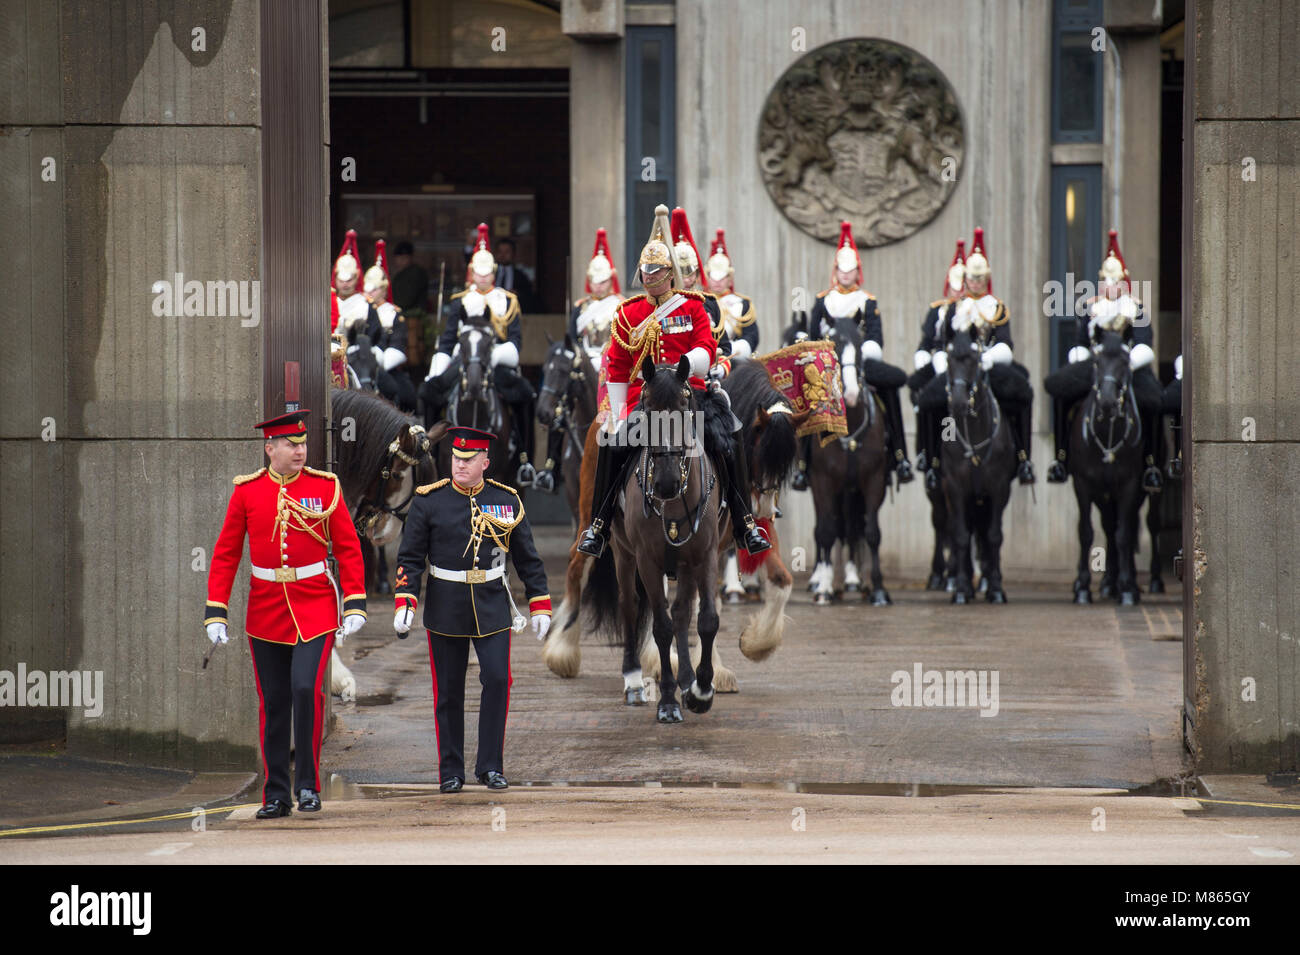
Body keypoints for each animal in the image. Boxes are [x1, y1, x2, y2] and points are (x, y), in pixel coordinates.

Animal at [582, 358, 728, 722]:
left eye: (684, 406)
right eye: (646, 409)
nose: (665, 483)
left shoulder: (705, 554)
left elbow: (706, 620)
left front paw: (701, 691)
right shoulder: (648, 560)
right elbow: (660, 627)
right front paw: (668, 702)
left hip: (685, 563)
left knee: (682, 613)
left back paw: (688, 681)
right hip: (623, 553)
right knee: (630, 606)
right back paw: (634, 680)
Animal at [941, 324, 1019, 600]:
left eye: (974, 360)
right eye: (948, 360)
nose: (959, 403)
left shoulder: (999, 488)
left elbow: (994, 535)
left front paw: (995, 588)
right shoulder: (955, 488)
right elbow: (962, 536)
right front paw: (962, 589)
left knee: (985, 535)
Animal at [1066, 332, 1149, 608]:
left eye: (1125, 363)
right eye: (1096, 362)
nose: (1108, 403)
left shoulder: (1129, 485)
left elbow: (1123, 534)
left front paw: (1127, 589)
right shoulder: (1082, 484)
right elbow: (1085, 532)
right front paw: (1082, 587)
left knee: (1121, 529)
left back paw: (1124, 583)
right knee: (1108, 527)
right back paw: (1108, 583)